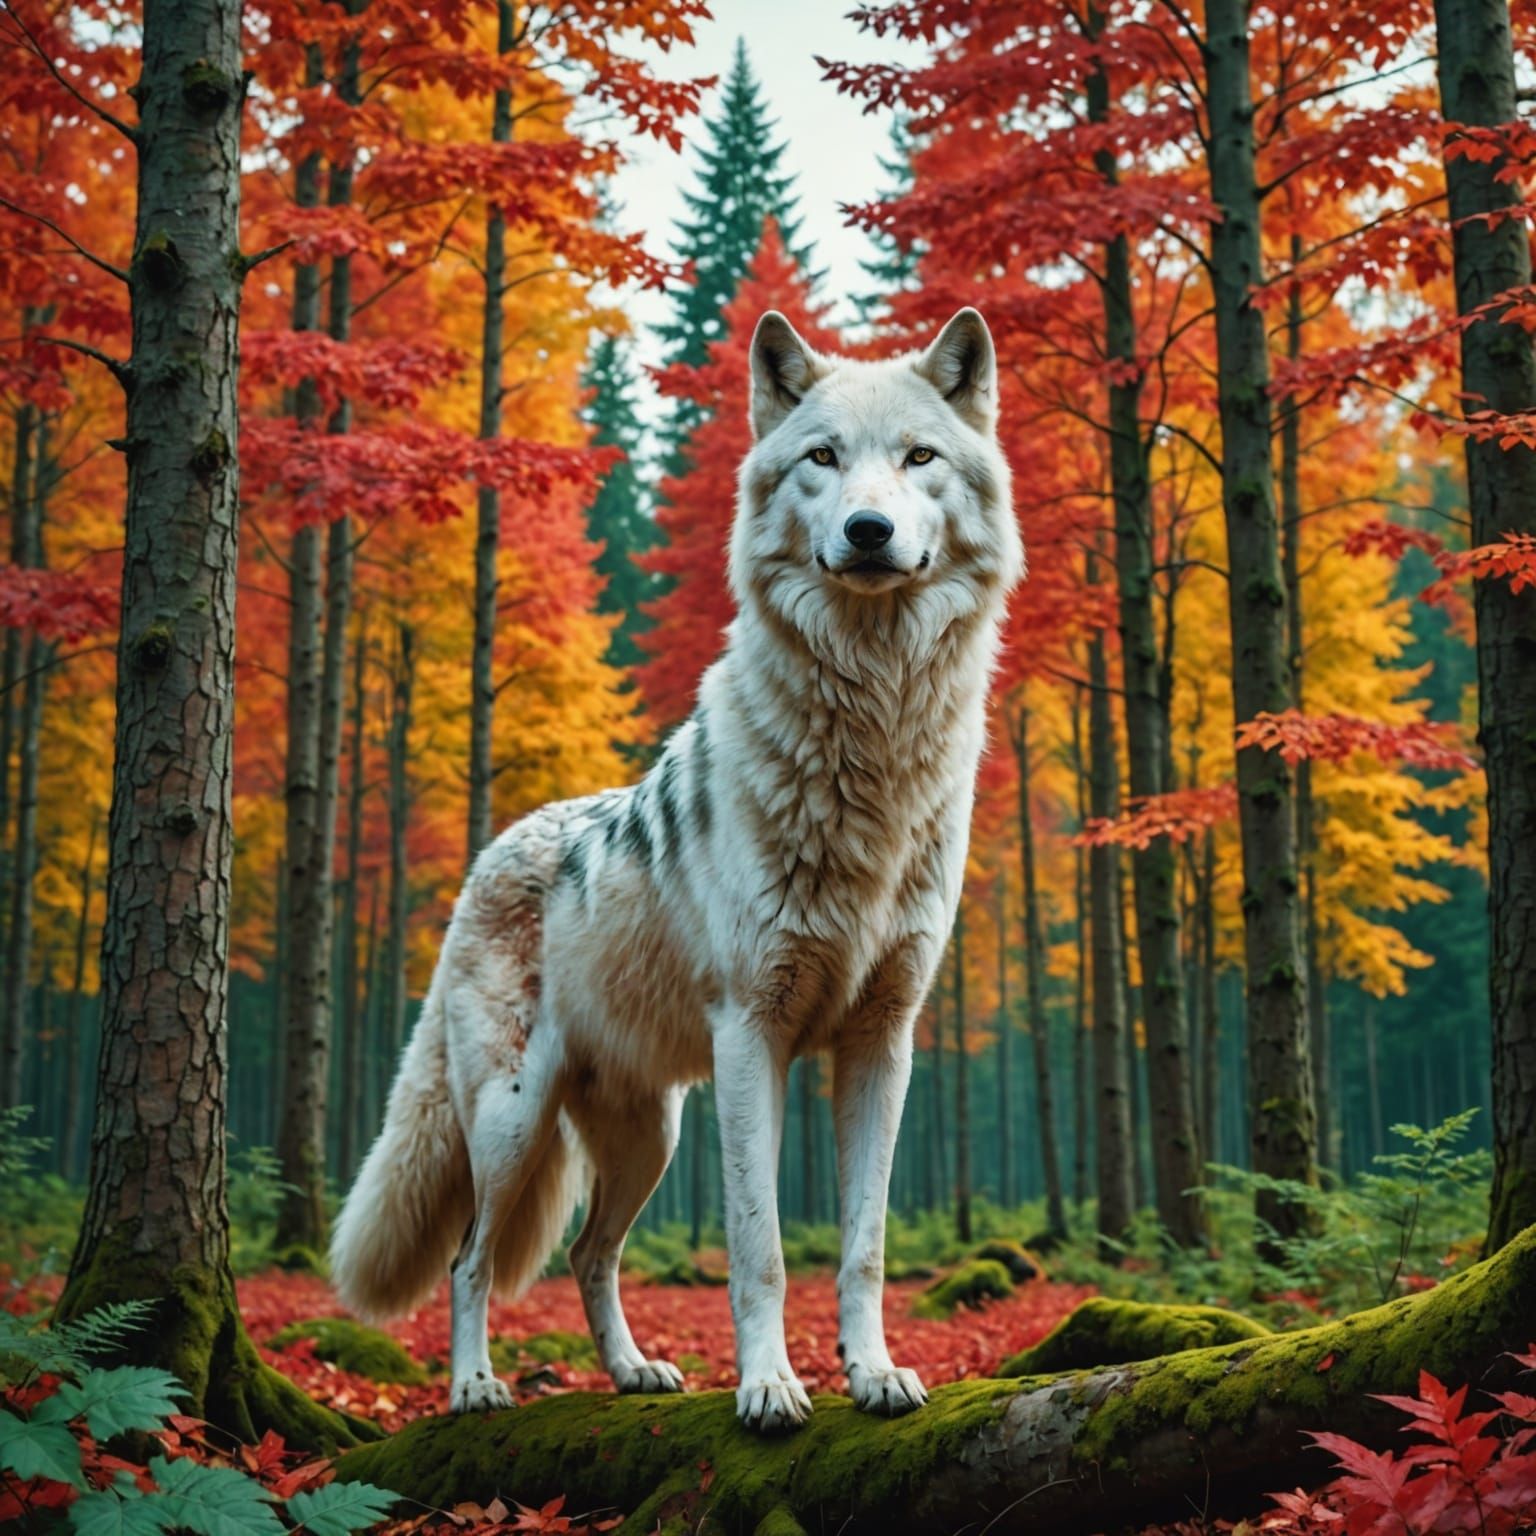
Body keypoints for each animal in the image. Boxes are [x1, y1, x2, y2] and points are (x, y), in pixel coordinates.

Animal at [330, 307, 1023, 1432]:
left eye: (919, 458)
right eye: (823, 459)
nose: (869, 532)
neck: (872, 737)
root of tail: (494, 851)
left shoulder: (884, 1043)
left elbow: (865, 1247)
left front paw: (873, 1374)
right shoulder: (753, 1035)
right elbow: (761, 1248)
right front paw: (770, 1387)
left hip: (647, 1138)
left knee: (587, 1253)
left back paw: (631, 1373)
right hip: (514, 1119)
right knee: (472, 1259)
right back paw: (476, 1386)